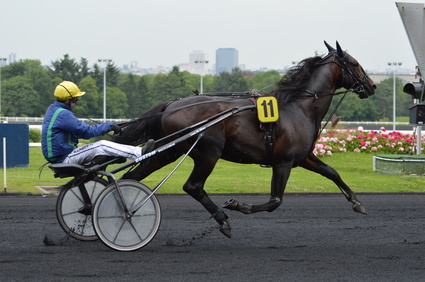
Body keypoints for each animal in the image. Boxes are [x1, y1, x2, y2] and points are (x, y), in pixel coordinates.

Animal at [114, 41, 376, 239]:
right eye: (355, 63)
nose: (372, 85)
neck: (298, 106)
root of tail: (171, 105)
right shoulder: (283, 162)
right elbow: (275, 201)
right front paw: (238, 205)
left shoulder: (302, 157)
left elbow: (332, 172)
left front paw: (357, 202)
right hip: (208, 151)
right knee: (193, 186)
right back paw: (222, 220)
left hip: (170, 150)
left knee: (132, 176)